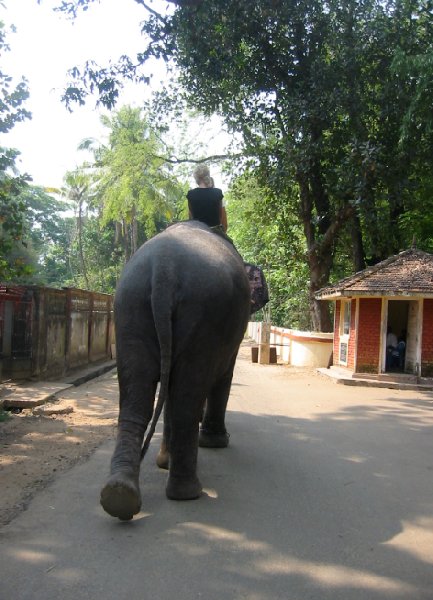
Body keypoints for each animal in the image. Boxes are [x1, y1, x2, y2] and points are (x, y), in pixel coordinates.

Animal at [99, 219, 250, 520]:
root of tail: (164, 268)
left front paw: (163, 462)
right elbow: (223, 375)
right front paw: (216, 443)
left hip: (130, 306)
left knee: (137, 399)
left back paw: (120, 495)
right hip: (204, 315)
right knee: (185, 398)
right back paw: (187, 494)